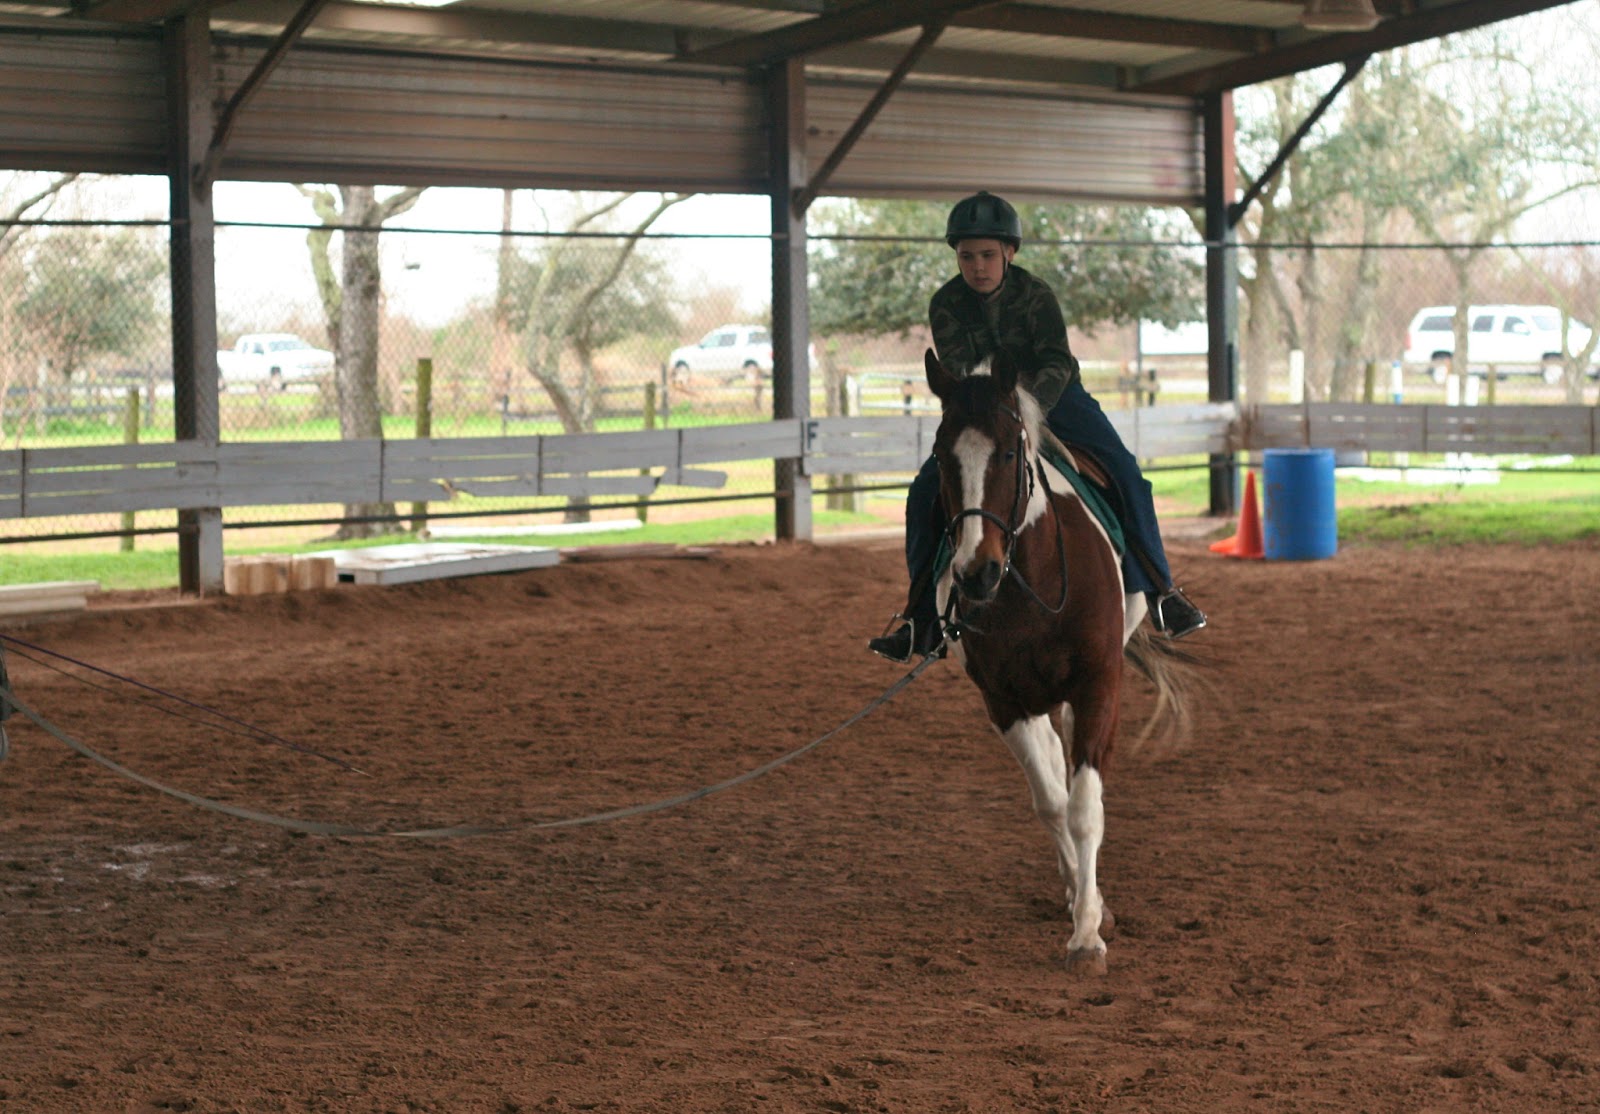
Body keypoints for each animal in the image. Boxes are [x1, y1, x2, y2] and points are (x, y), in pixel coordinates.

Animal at [922, 347, 1196, 974]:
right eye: (941, 456)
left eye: (1007, 452)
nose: (975, 573)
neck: (1032, 584)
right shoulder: (1003, 701)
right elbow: (1051, 802)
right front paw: (1081, 899)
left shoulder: (1098, 686)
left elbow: (1084, 806)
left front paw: (1087, 935)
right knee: (1052, 760)